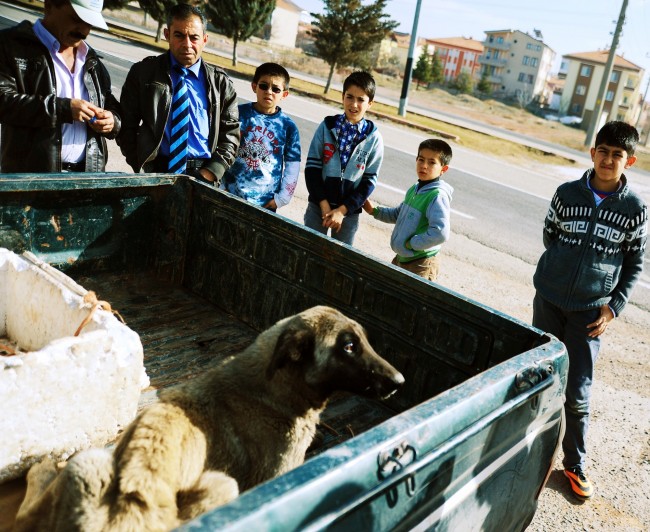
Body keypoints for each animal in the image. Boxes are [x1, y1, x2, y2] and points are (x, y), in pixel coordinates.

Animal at [13, 306, 400, 528]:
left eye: (364, 340)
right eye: (348, 346)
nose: (400, 382)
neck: (274, 389)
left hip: (87, 465)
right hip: (224, 486)